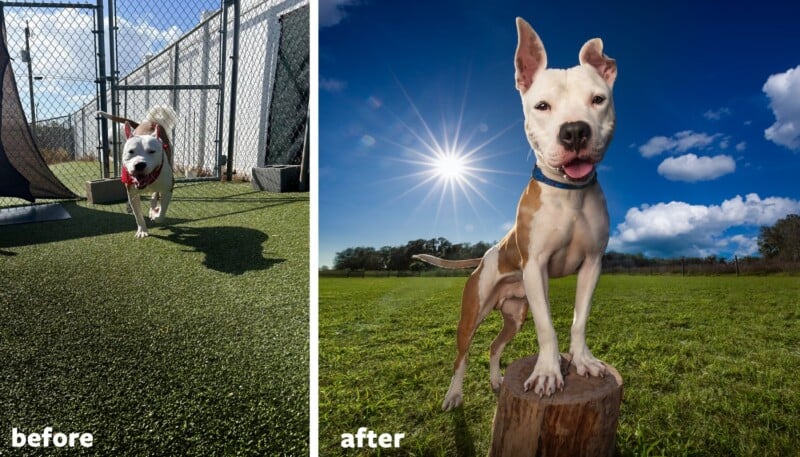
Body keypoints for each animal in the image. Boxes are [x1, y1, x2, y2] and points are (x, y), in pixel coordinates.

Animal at [97, 105, 177, 237]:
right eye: (131, 151)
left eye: (152, 151)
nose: (139, 165)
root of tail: (149, 122)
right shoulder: (132, 193)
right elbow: (138, 215)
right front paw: (142, 230)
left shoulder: (167, 190)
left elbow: (162, 212)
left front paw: (155, 214)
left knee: (155, 195)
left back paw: (153, 209)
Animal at [416, 17, 616, 410]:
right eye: (542, 106)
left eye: (598, 100)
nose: (574, 131)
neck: (569, 194)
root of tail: (485, 256)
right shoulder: (535, 266)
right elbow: (547, 327)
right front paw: (548, 373)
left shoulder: (592, 265)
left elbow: (579, 319)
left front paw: (582, 360)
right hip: (472, 314)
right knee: (462, 356)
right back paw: (454, 395)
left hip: (514, 315)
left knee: (494, 347)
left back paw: (497, 381)